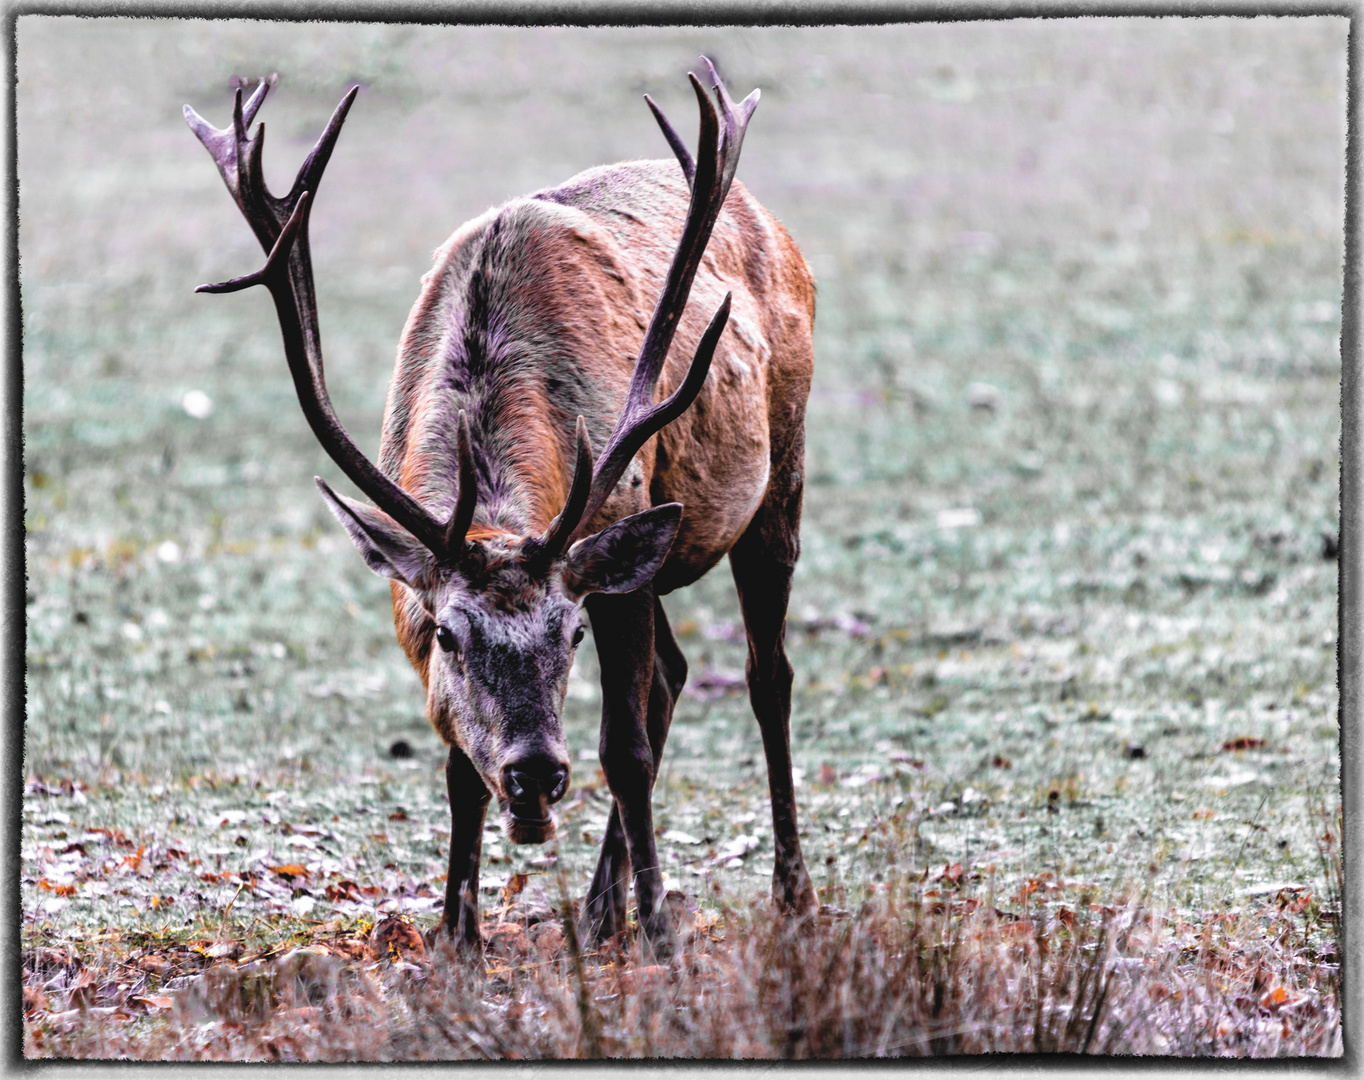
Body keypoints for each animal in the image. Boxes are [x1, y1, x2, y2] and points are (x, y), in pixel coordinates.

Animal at [186, 58, 812, 960]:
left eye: (570, 632)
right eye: (449, 634)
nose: (535, 776)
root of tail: (778, 228)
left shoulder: (609, 550)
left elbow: (623, 750)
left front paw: (661, 930)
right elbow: (457, 765)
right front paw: (458, 934)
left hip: (780, 468)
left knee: (767, 676)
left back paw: (789, 898)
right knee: (674, 675)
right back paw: (598, 913)